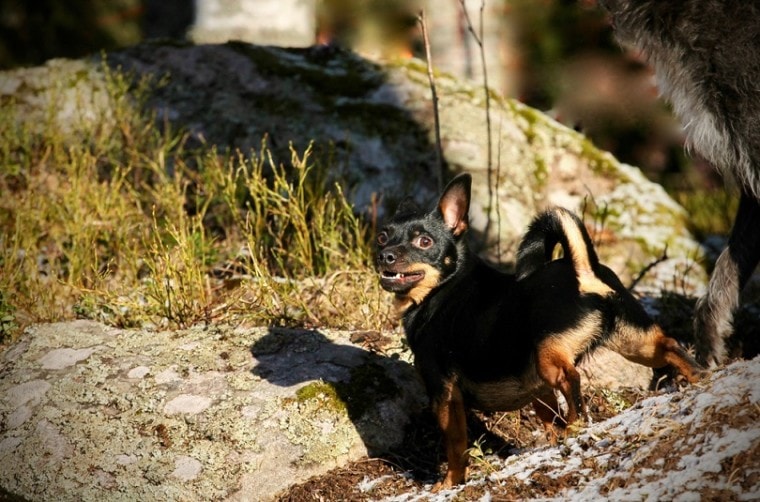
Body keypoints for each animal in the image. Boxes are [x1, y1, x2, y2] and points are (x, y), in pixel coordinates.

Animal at [378, 174, 704, 490]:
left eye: (424, 241)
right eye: (382, 236)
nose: (385, 255)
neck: (442, 288)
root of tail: (582, 270)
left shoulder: (444, 394)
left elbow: (456, 446)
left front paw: (448, 483)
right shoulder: (535, 387)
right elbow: (548, 417)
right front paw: (553, 440)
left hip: (550, 356)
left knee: (571, 379)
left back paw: (575, 425)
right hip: (637, 342)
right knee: (669, 346)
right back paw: (700, 378)